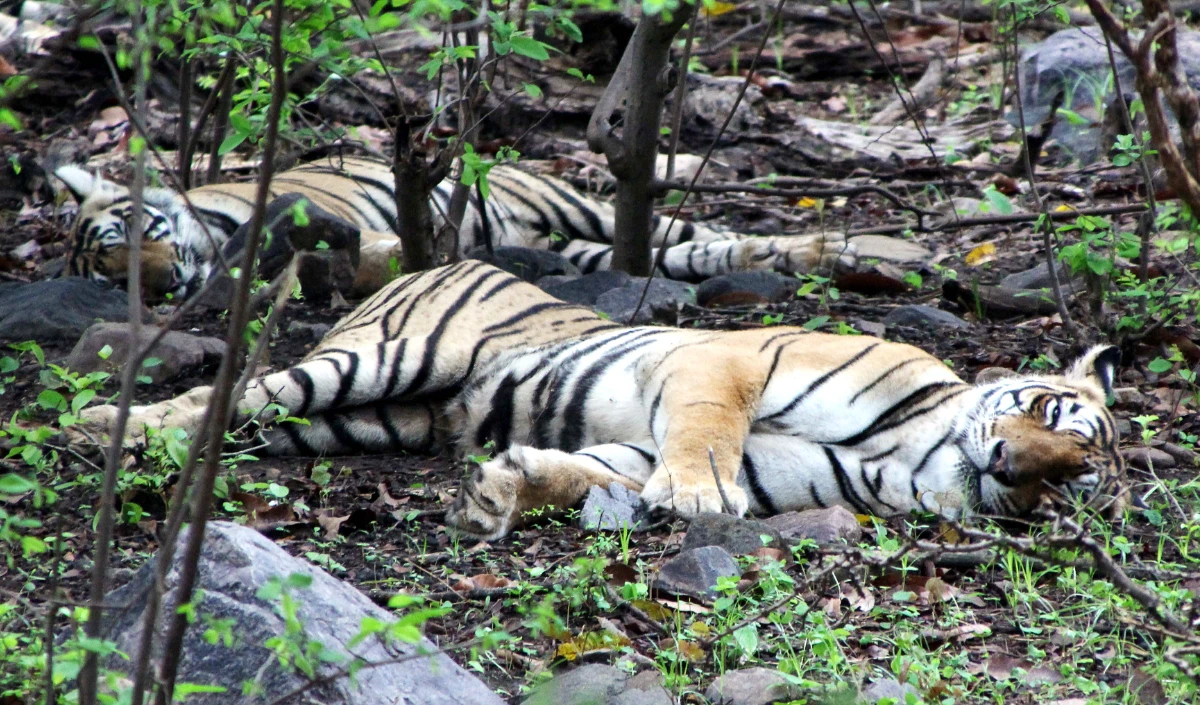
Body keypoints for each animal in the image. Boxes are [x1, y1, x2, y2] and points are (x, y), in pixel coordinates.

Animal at [79, 260, 1128, 539]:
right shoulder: (733, 361)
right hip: (377, 360)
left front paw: (501, 489)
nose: (1013, 463)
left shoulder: (768, 463)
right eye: (1049, 416)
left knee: (266, 420)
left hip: (365, 421)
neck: (920, 454)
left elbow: (595, 469)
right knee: (234, 390)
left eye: (1069, 477)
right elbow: (704, 436)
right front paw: (697, 497)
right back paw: (105, 426)